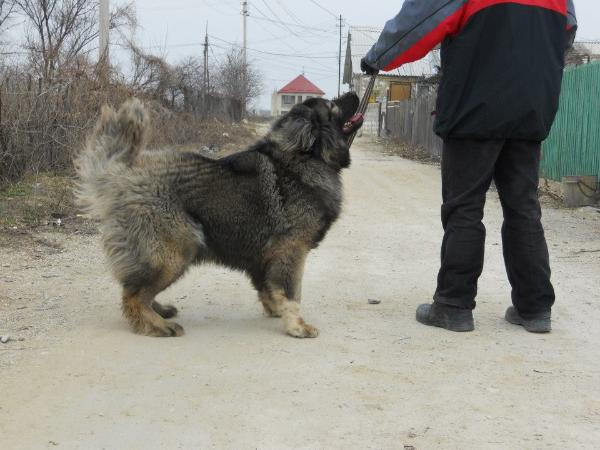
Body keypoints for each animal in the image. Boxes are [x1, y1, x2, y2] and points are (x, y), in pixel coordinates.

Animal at [77, 94, 364, 338]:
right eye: (333, 106)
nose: (354, 93)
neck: (305, 158)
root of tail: (120, 175)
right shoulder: (292, 251)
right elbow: (292, 294)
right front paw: (297, 326)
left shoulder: (265, 255)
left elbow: (267, 288)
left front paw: (275, 310)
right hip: (176, 251)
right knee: (133, 297)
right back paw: (158, 325)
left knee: (136, 288)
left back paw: (159, 311)